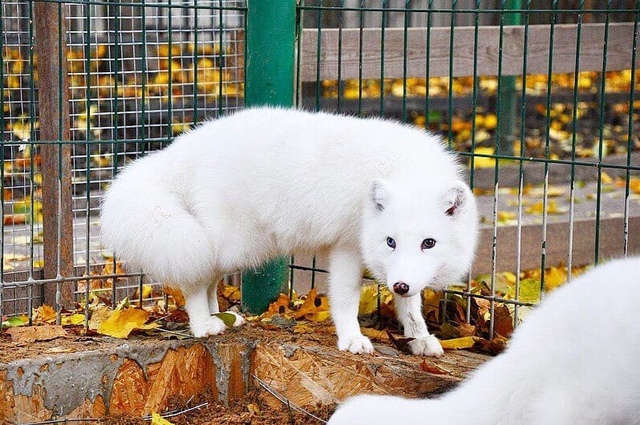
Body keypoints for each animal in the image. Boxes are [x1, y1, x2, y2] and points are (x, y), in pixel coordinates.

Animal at [102, 107, 478, 354]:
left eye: (429, 243)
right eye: (391, 241)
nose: (398, 285)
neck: (407, 171)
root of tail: (183, 146)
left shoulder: (406, 273)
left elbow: (411, 306)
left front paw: (420, 338)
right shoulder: (348, 246)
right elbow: (346, 299)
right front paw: (351, 338)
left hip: (226, 244)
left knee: (208, 278)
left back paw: (219, 317)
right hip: (231, 242)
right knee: (196, 281)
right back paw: (203, 324)